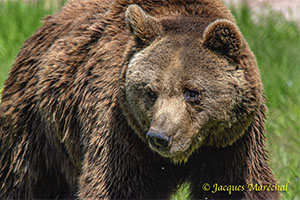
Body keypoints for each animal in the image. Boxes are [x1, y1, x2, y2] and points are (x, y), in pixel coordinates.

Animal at [1, 0, 280, 199]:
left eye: (192, 92)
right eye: (150, 91)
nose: (160, 137)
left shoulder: (233, 144)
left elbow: (238, 186)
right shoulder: (123, 134)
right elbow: (116, 188)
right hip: (35, 125)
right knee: (20, 177)